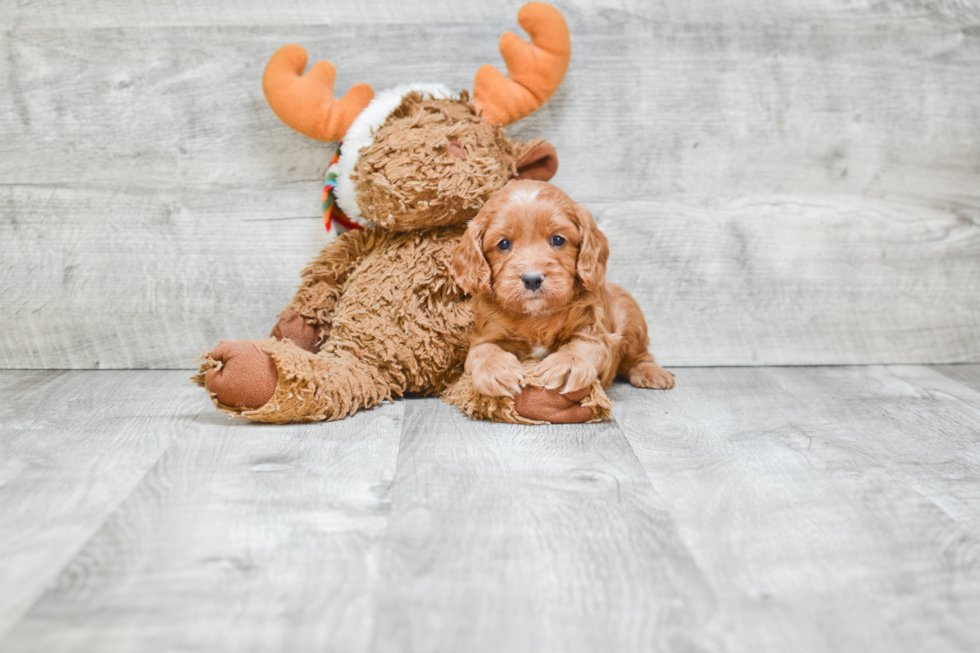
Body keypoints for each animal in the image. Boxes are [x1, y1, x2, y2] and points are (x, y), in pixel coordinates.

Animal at [452, 178, 672, 402]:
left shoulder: (596, 331)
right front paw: (495, 369)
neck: (536, 316)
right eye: (503, 243)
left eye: (557, 240)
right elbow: (483, 350)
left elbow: (583, 344)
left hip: (630, 314)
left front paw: (568, 363)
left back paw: (651, 372)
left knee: (638, 356)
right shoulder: (485, 333)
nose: (532, 279)